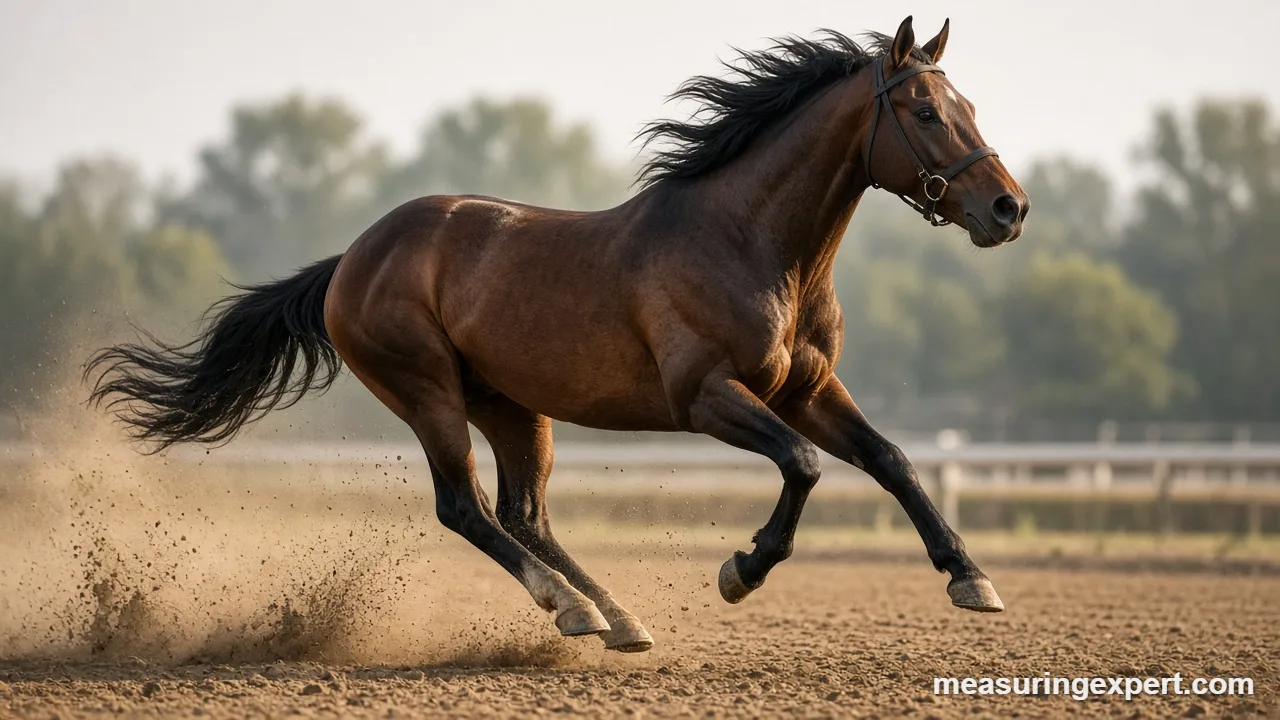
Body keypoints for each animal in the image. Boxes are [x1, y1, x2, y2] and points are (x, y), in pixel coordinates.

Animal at [87, 16, 1028, 654]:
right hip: (427, 391)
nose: (1008, 209)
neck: (754, 245)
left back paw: (617, 617)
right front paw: (741, 570)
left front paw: (972, 579)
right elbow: (803, 467)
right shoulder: (708, 397)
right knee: (466, 508)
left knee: (524, 512)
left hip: (513, 407)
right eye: (923, 110)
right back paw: (574, 609)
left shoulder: (808, 388)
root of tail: (353, 257)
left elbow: (891, 460)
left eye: (971, 103)